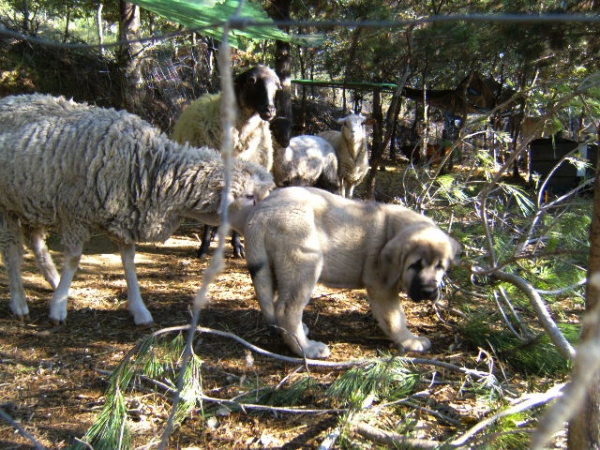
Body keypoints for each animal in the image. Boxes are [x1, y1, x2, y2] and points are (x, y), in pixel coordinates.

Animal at [0, 95, 276, 326]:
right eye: (249, 196)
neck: (154, 169)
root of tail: (10, 99)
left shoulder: (126, 215)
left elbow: (129, 262)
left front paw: (140, 310)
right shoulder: (75, 213)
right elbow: (73, 259)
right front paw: (58, 309)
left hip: (32, 201)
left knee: (36, 243)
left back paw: (53, 281)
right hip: (7, 206)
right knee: (12, 251)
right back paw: (20, 302)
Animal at [241, 186, 462, 358]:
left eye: (440, 266)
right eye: (415, 265)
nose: (428, 292)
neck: (391, 230)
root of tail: (261, 212)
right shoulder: (381, 287)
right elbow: (396, 317)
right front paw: (408, 340)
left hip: (276, 269)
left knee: (275, 303)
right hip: (304, 264)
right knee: (286, 310)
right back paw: (306, 349)